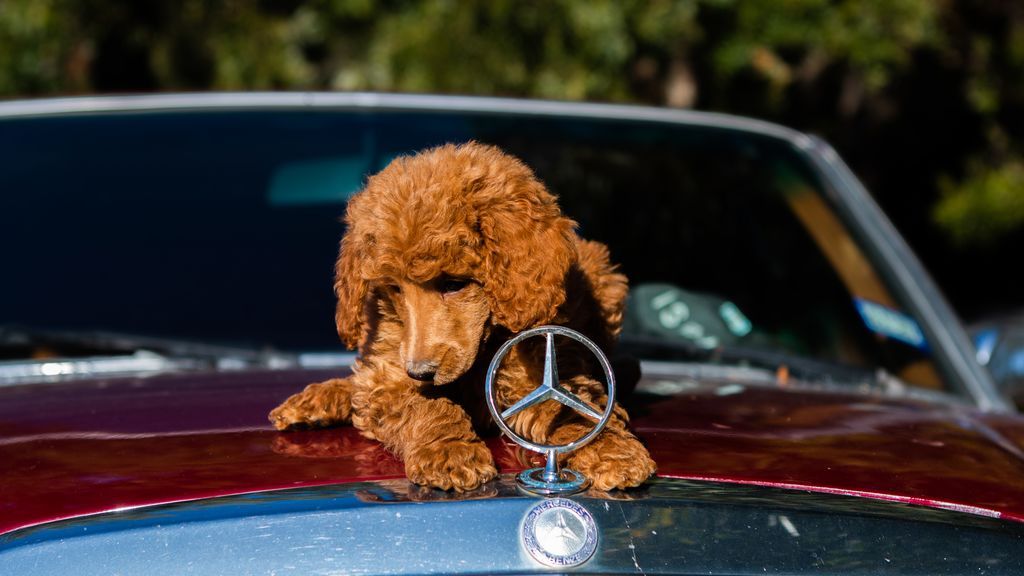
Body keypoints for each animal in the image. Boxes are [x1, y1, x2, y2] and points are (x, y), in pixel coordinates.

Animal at [272, 141, 655, 491]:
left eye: (454, 284)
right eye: (393, 288)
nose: (420, 372)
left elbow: (572, 405)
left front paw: (612, 451)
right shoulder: (390, 372)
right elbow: (424, 406)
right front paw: (449, 453)